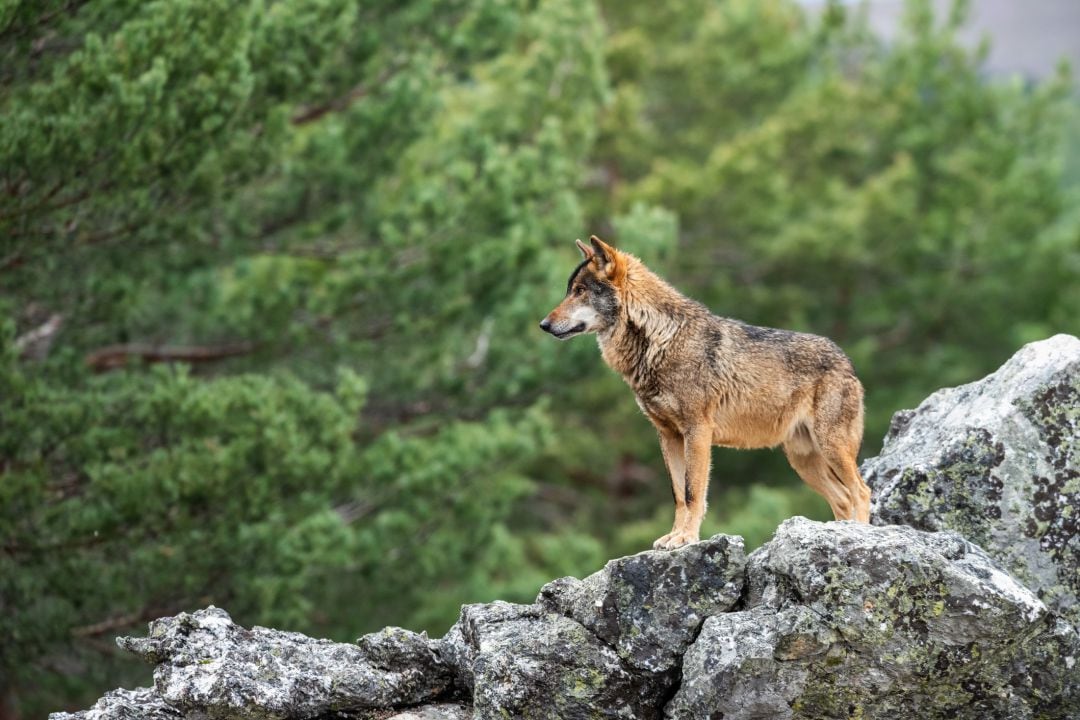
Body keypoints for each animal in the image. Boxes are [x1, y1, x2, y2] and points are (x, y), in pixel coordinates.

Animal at [540, 239, 868, 548]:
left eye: (581, 291)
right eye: (570, 290)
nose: (543, 324)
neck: (660, 339)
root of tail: (847, 361)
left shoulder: (697, 431)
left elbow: (692, 491)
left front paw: (686, 538)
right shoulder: (668, 435)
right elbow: (677, 494)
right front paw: (673, 537)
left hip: (830, 447)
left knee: (861, 491)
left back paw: (862, 534)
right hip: (804, 462)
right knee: (843, 497)